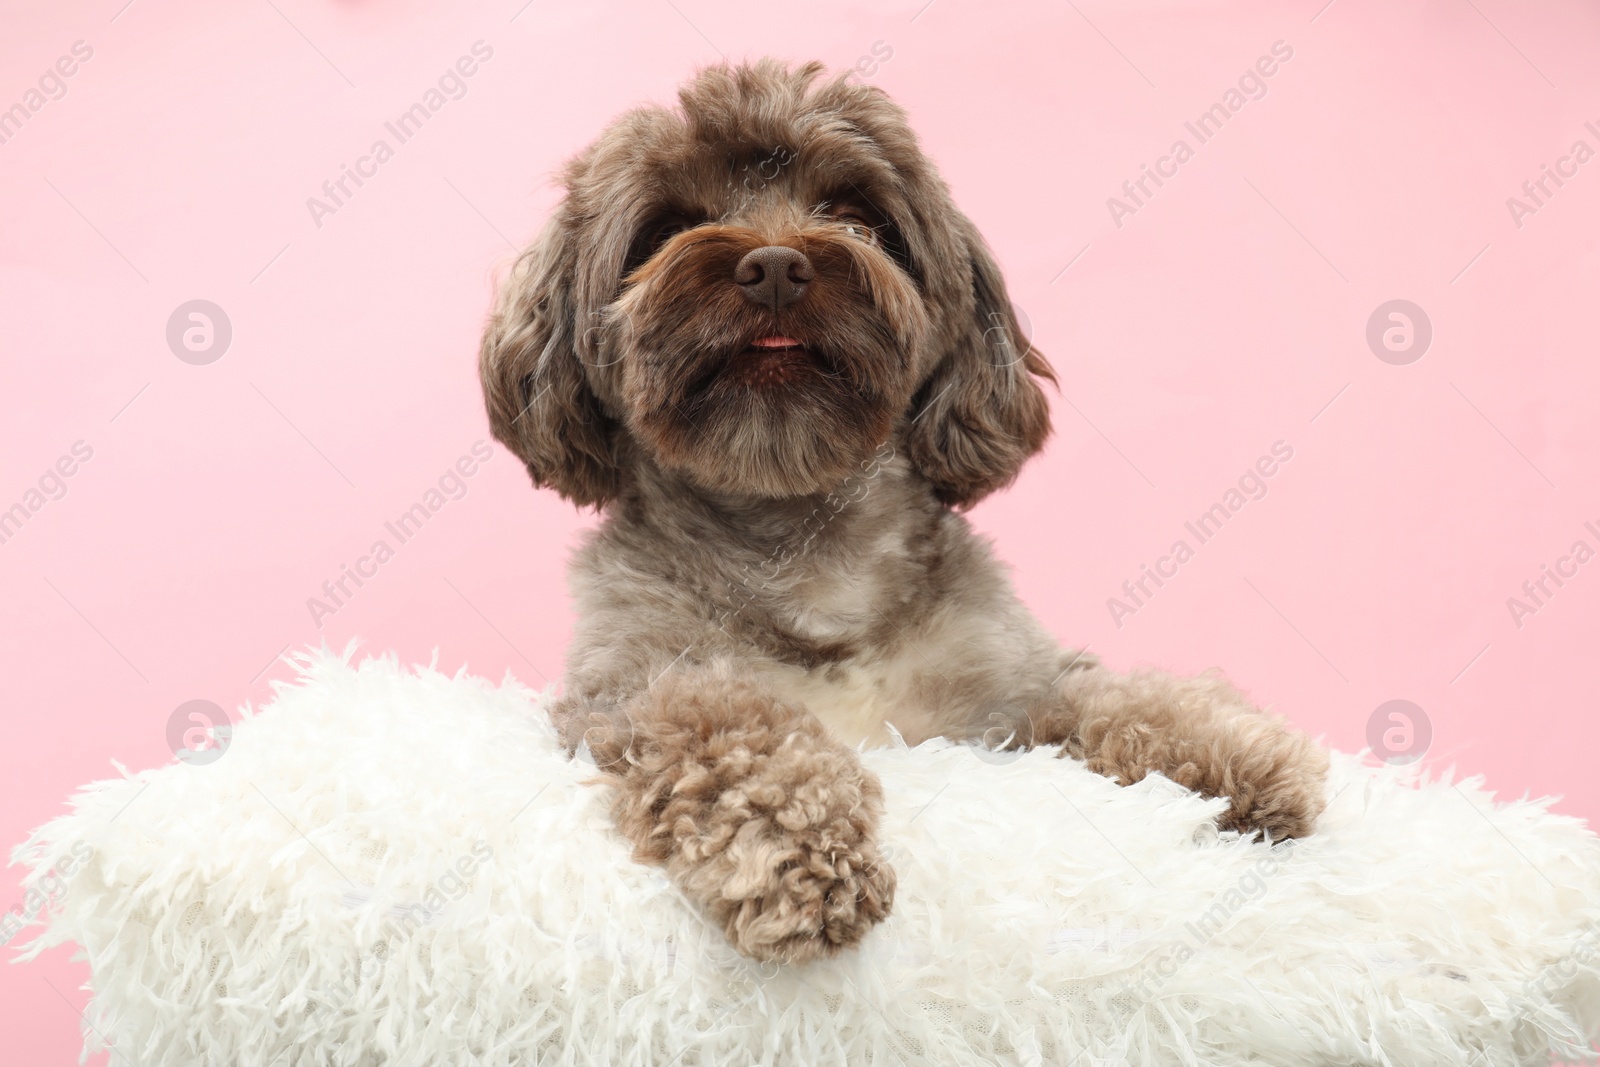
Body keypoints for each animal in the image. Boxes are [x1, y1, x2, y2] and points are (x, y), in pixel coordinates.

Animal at [473, 62, 1324, 972]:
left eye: (859, 218)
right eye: (669, 227)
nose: (775, 266)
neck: (808, 551)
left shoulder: (1001, 704)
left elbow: (1114, 695)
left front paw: (1242, 754)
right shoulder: (630, 690)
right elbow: (725, 723)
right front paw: (799, 850)